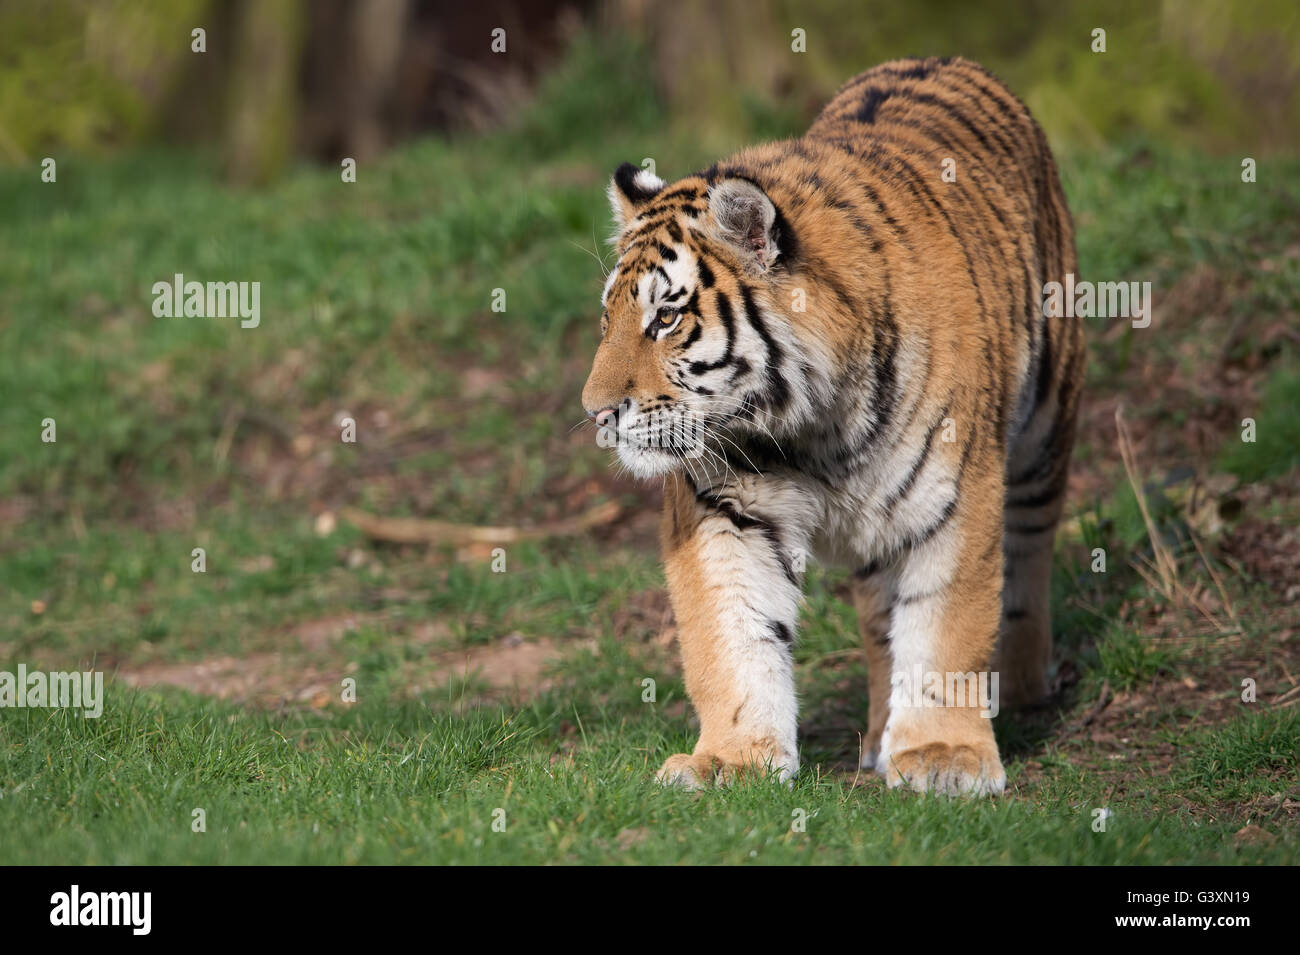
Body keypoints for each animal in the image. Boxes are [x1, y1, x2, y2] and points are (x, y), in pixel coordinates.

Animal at [585, 55, 1081, 795]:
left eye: (666, 318)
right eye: (607, 319)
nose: (596, 412)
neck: (809, 426)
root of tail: (940, 58)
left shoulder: (957, 493)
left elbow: (949, 623)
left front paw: (944, 755)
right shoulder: (720, 506)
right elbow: (730, 633)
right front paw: (733, 758)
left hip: (1046, 419)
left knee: (1029, 546)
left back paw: (1019, 686)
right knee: (880, 620)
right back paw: (878, 736)